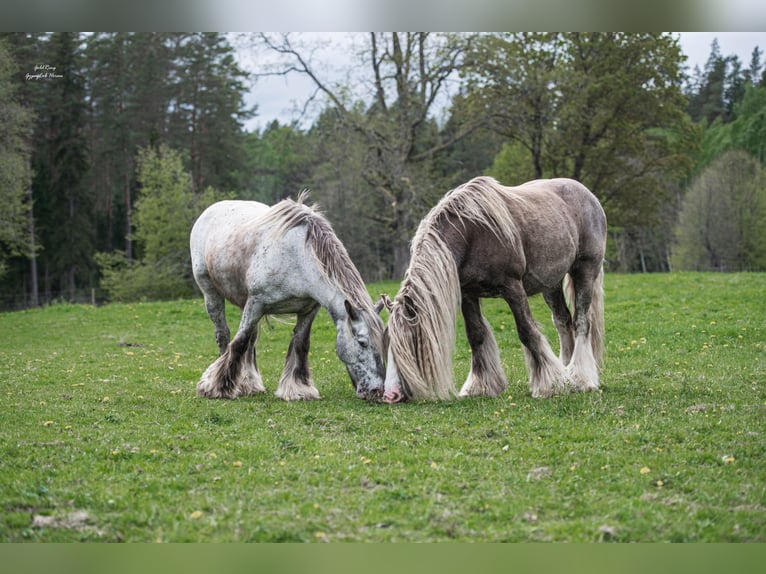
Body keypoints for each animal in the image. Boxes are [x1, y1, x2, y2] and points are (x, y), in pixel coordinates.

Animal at [190, 192, 387, 401]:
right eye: (362, 342)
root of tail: (210, 210)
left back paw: (249, 384)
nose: (377, 391)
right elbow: (239, 341)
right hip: (211, 293)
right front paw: (216, 387)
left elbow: (300, 344)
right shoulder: (257, 302)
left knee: (251, 340)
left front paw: (299, 389)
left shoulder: (309, 309)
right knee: (224, 335)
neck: (299, 257)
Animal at [380, 176, 606, 403]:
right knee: (563, 321)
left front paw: (548, 384)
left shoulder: (513, 288)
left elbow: (527, 332)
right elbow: (476, 336)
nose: (391, 395)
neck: (472, 233)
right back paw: (566, 371)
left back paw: (580, 378)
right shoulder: (468, 294)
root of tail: (588, 194)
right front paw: (479, 386)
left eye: (407, 346)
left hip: (585, 271)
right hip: (551, 284)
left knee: (581, 321)